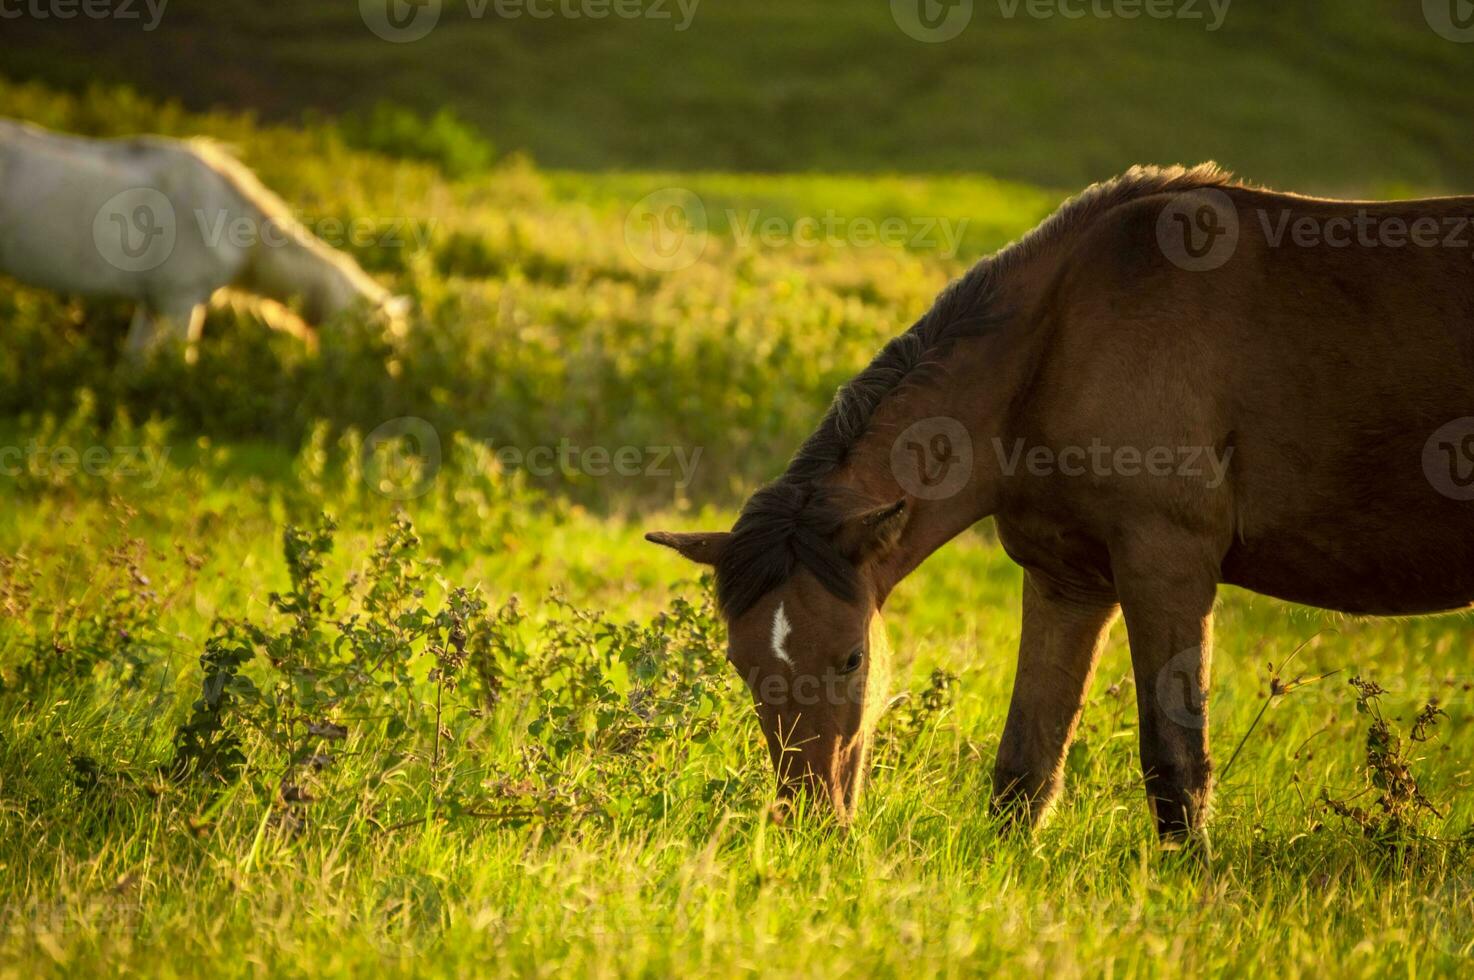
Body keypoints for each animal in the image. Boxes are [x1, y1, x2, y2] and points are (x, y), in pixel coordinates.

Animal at [651, 162, 1474, 842]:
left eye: (853, 656)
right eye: (741, 664)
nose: (809, 820)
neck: (1061, 340)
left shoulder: (1166, 567)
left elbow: (1175, 763)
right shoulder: (1068, 582)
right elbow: (1026, 765)